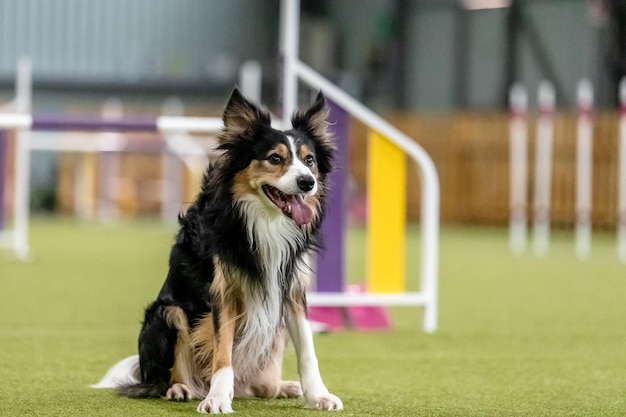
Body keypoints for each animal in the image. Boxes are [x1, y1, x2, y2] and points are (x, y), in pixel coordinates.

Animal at [94, 88, 342, 412]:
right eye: (274, 158)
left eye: (309, 160)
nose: (307, 182)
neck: (263, 220)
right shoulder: (223, 293)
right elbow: (222, 350)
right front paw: (217, 398)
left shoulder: (291, 290)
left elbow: (308, 349)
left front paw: (319, 395)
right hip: (166, 313)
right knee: (167, 376)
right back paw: (181, 389)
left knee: (260, 386)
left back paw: (281, 387)